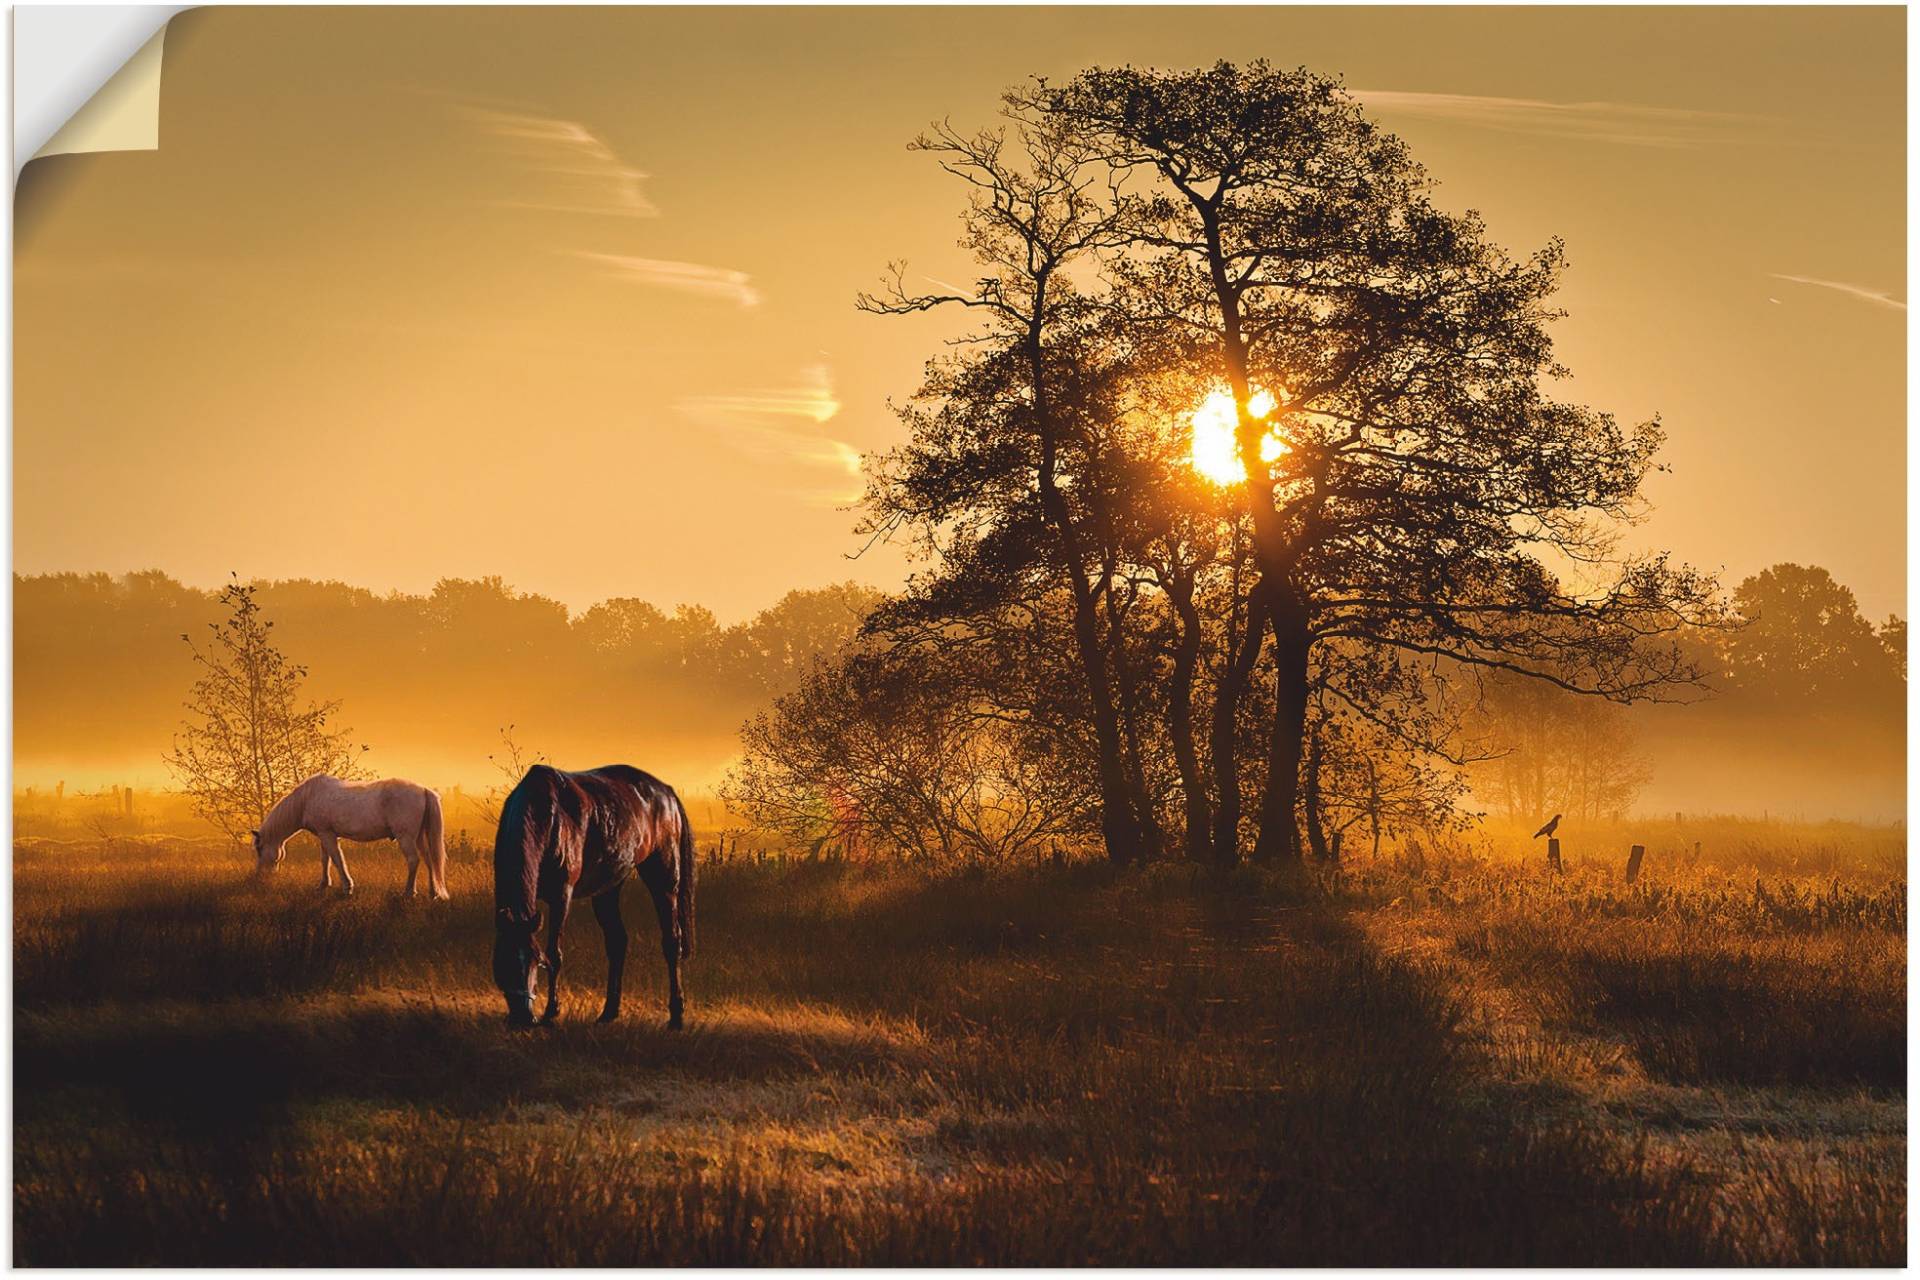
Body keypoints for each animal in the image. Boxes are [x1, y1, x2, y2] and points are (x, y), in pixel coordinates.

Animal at [251, 775, 449, 898]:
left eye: (259, 849)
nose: (260, 878)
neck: (307, 799)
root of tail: (423, 790)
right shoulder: (325, 834)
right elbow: (325, 860)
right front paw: (323, 885)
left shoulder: (327, 834)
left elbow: (337, 859)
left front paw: (347, 887)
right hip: (420, 837)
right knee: (429, 859)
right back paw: (433, 893)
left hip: (406, 837)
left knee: (413, 860)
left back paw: (409, 892)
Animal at [491, 767, 695, 1028]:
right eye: (502, 962)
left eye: (536, 961)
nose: (524, 1018)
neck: (548, 817)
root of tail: (668, 793)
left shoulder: (562, 895)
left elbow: (555, 952)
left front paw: (551, 1012)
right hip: (608, 889)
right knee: (617, 942)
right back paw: (609, 1012)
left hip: (664, 879)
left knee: (671, 941)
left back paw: (676, 1016)